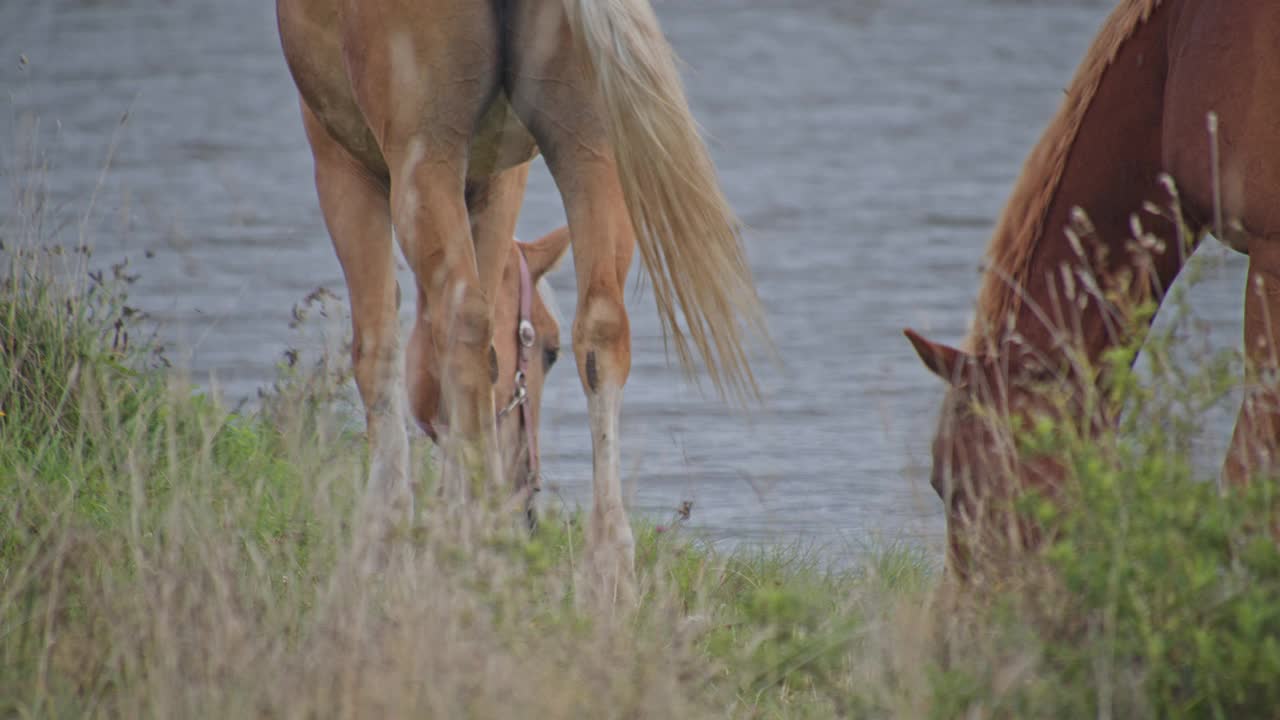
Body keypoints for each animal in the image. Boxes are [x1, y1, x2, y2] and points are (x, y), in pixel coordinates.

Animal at [275, 0, 762, 597]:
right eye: (547, 350)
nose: (522, 502)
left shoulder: (342, 162)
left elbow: (379, 352)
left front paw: (380, 547)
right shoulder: (497, 176)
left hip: (423, 154)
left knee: (461, 323)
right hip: (590, 141)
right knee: (601, 327)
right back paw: (606, 571)